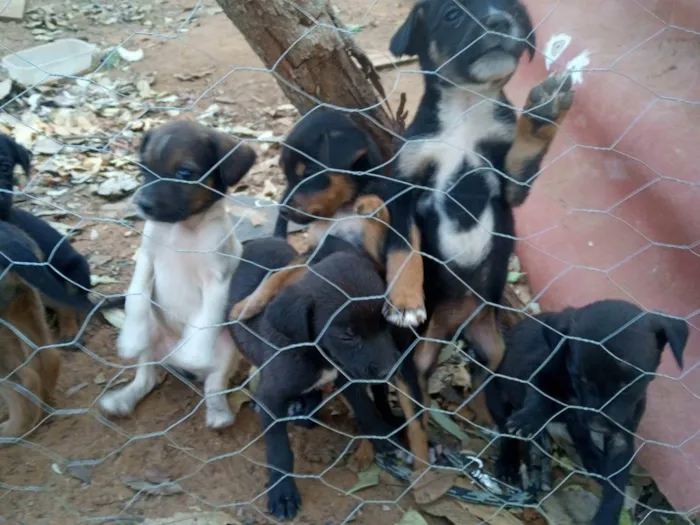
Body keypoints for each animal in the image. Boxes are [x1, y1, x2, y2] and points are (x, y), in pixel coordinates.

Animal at [98, 121, 258, 428]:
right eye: (144, 169)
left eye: (185, 173)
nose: (142, 204)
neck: (182, 230)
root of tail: (168, 357)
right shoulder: (146, 261)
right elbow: (136, 297)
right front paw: (130, 337)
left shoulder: (217, 282)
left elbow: (203, 322)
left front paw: (193, 354)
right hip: (152, 337)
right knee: (146, 378)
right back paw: (123, 399)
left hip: (226, 350)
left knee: (214, 384)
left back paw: (218, 411)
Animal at [230, 237, 418, 520]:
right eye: (347, 335)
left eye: (385, 323)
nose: (391, 370)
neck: (318, 353)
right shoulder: (272, 397)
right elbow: (278, 449)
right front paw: (282, 492)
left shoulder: (346, 374)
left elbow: (366, 408)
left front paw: (382, 437)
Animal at [386, 0, 576, 378]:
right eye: (452, 15)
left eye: (514, 12)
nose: (499, 21)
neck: (465, 110)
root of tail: (454, 324)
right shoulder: (402, 187)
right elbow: (403, 247)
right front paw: (404, 302)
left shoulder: (511, 186)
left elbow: (525, 151)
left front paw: (542, 113)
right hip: (417, 360)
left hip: (492, 351)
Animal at [484, 298, 688, 524]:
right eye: (579, 377)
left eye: (630, 384)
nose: (598, 425)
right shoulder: (537, 370)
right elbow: (542, 395)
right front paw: (529, 417)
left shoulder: (621, 437)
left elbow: (616, 485)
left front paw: (606, 516)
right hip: (494, 395)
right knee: (505, 432)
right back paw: (507, 462)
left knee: (579, 433)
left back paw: (592, 457)